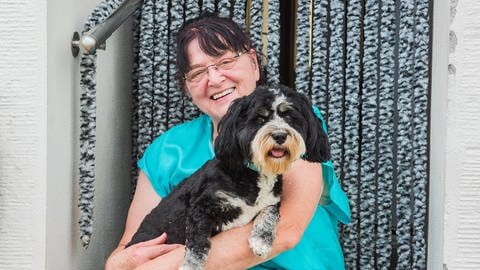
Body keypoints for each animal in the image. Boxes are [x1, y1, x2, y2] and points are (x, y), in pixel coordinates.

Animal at [125, 84, 332, 270]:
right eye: (260, 118)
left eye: (289, 116)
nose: (280, 135)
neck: (255, 173)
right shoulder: (200, 209)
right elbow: (198, 245)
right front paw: (191, 265)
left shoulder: (271, 202)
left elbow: (270, 212)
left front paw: (261, 240)